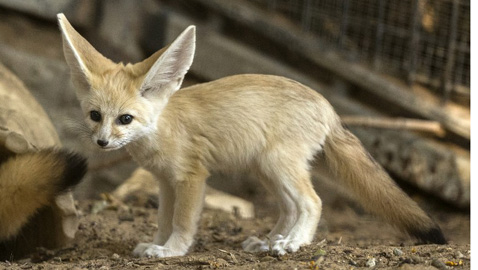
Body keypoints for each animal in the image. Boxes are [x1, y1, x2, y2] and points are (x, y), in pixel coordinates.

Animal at [58, 14, 446, 258]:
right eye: (95, 116)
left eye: (125, 119)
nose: (102, 142)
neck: (163, 127)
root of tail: (327, 104)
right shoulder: (166, 182)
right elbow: (163, 221)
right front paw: (156, 244)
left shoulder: (192, 178)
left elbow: (182, 223)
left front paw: (171, 251)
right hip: (266, 171)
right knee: (290, 208)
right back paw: (271, 241)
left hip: (278, 167)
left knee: (313, 203)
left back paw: (292, 244)